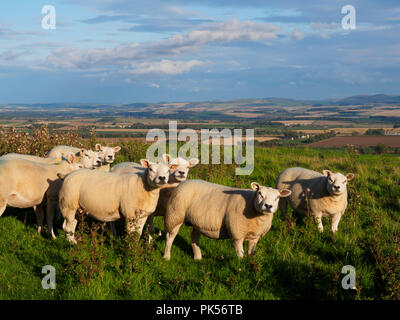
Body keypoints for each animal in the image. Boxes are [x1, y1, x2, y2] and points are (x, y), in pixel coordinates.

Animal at [162, 180, 290, 260]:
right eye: (259, 193)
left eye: (278, 197)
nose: (268, 206)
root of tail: (183, 182)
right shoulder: (237, 233)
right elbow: (240, 255)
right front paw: (240, 267)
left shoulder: (255, 237)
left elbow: (250, 254)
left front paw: (250, 265)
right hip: (174, 215)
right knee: (170, 236)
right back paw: (166, 257)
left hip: (196, 221)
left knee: (194, 237)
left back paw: (198, 258)